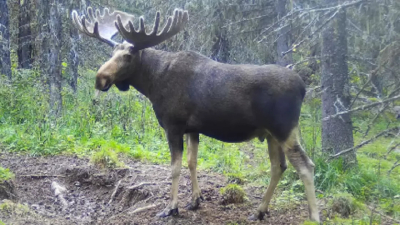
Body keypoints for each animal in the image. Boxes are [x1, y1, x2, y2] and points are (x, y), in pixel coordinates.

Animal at [72, 6, 320, 221]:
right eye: (112, 52)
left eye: (128, 56)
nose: (100, 78)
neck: (152, 83)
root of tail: (303, 88)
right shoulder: (193, 128)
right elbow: (192, 162)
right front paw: (194, 200)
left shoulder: (173, 125)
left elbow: (174, 167)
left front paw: (171, 208)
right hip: (270, 133)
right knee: (279, 166)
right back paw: (259, 212)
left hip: (283, 127)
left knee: (306, 165)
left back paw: (313, 217)